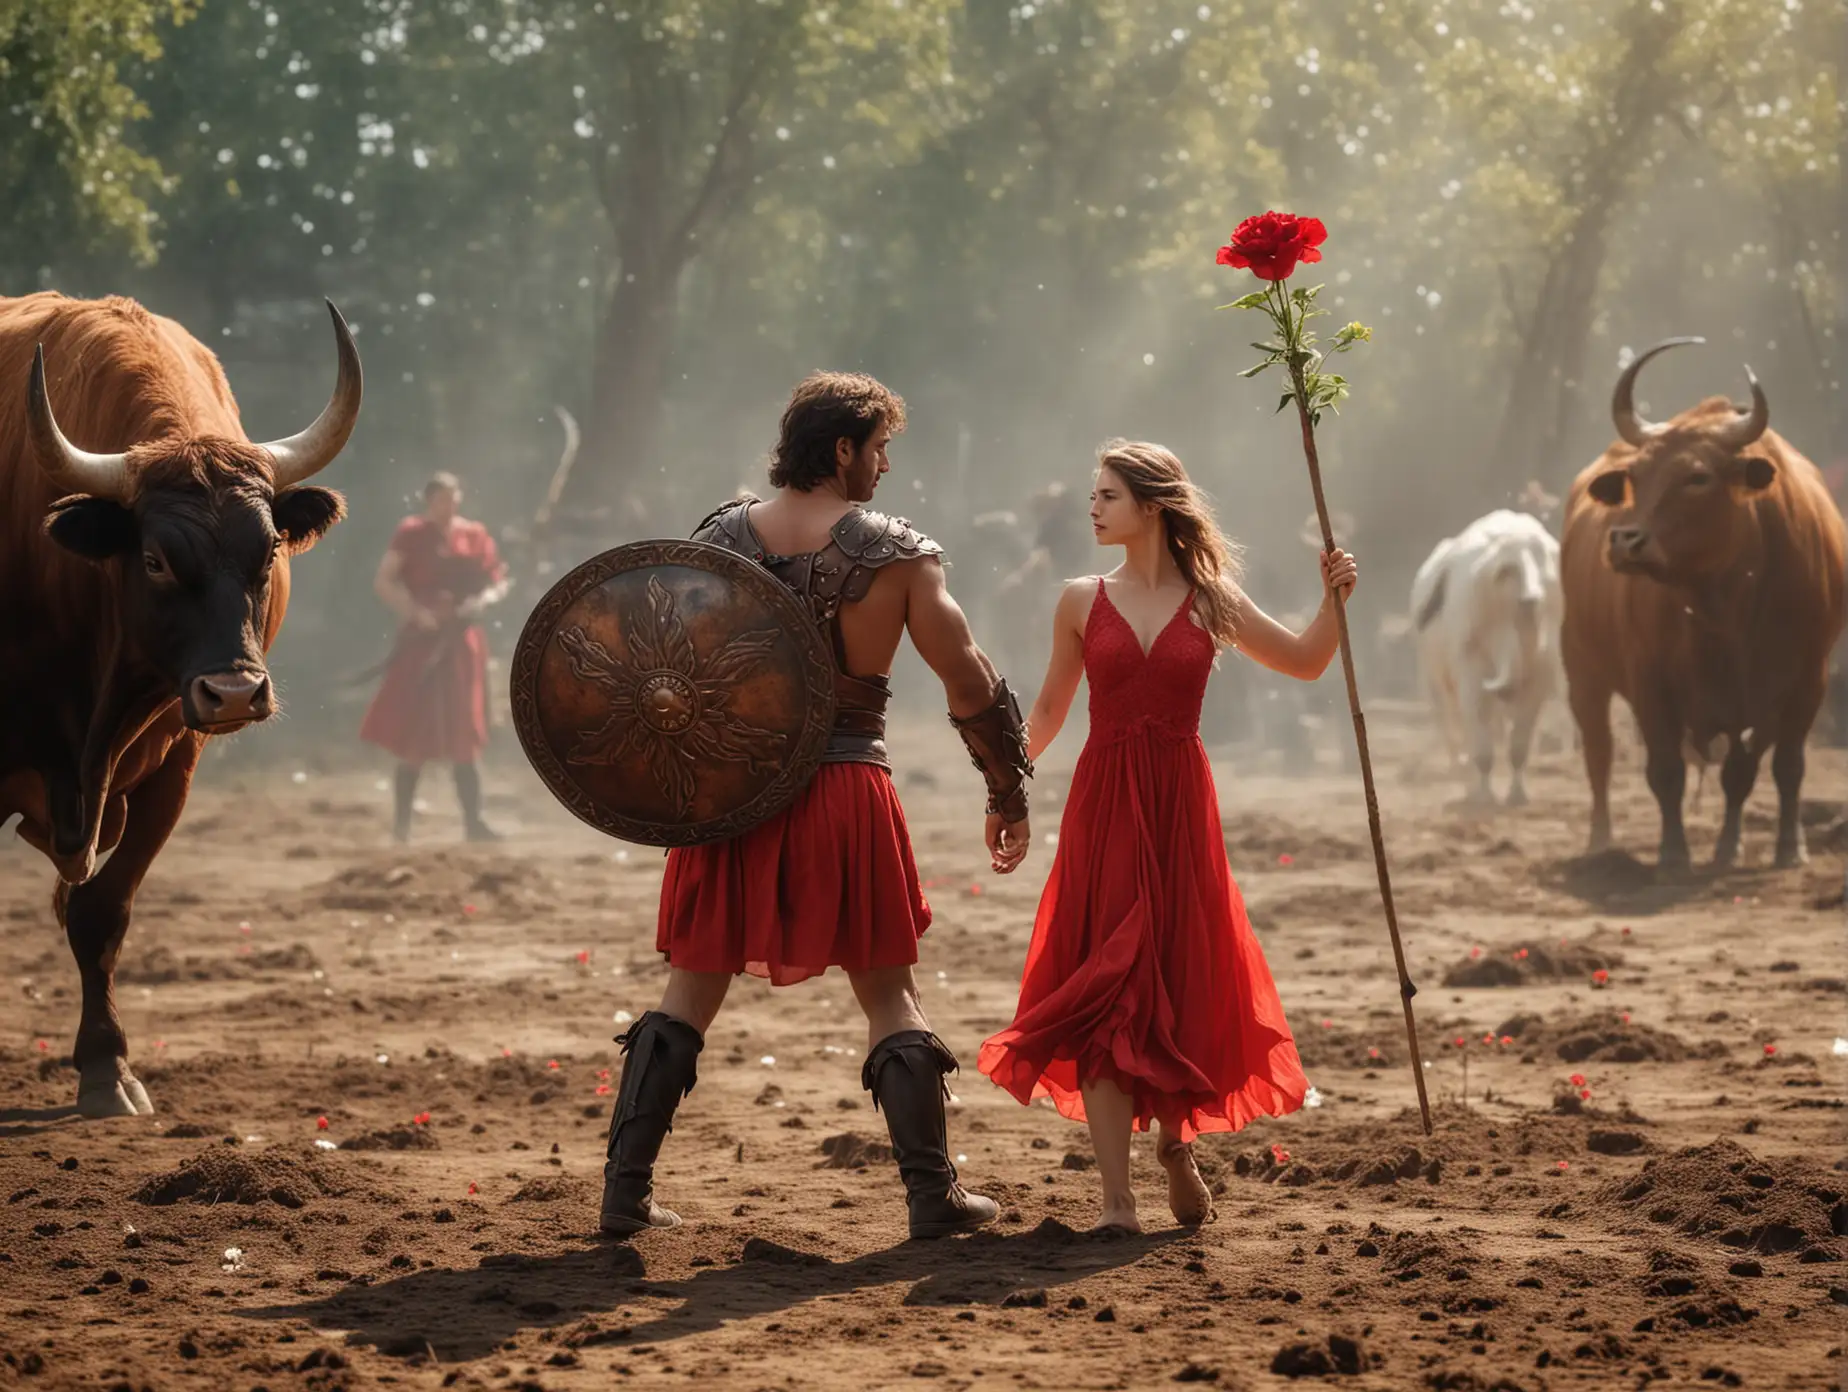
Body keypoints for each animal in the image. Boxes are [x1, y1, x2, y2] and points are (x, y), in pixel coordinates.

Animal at [0, 290, 360, 1109]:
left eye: (269, 551)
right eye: (156, 559)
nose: (234, 692)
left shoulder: (174, 766)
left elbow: (100, 912)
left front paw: (107, 1068)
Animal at [1404, 506, 1567, 802]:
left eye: (1549, 582)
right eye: (1505, 573)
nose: (1530, 599)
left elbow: (1523, 731)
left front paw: (1518, 796)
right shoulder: (1466, 643)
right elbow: (1476, 710)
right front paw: (1484, 798)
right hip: (1429, 669)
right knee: (1449, 718)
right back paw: (1465, 779)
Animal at [1559, 336, 1848, 868]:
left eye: (1697, 477)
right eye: (1635, 476)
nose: (1624, 541)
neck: (1725, 606)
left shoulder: (1805, 681)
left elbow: (1780, 767)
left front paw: (1785, 848)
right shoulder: (1650, 682)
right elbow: (1666, 770)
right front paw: (1673, 854)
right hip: (1582, 668)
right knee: (1598, 753)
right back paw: (1601, 842)